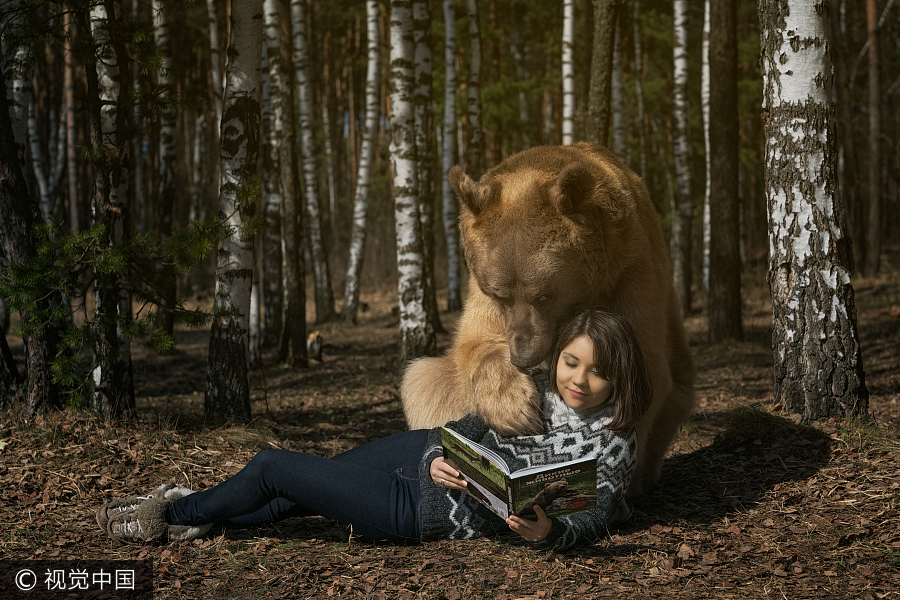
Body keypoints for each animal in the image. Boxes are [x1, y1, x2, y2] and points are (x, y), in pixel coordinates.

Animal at [402, 142, 696, 496]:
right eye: (499, 293)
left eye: (544, 295)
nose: (523, 355)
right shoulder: (481, 294)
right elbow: (477, 340)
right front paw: (517, 407)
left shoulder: (629, 271)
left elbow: (640, 371)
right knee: (424, 379)